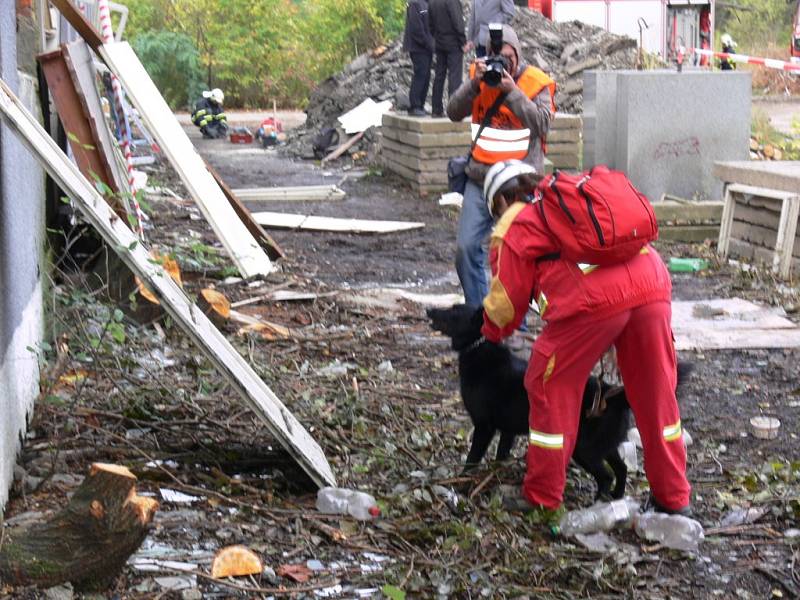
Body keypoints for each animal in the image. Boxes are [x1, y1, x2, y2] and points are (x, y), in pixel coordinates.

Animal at [428, 304, 692, 502]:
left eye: (453, 311)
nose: (429, 311)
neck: (478, 346)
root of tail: (610, 393)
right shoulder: (507, 431)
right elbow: (500, 455)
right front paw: (494, 476)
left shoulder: (485, 427)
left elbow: (472, 458)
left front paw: (462, 481)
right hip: (604, 445)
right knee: (621, 469)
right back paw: (616, 497)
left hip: (583, 449)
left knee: (606, 476)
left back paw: (597, 502)